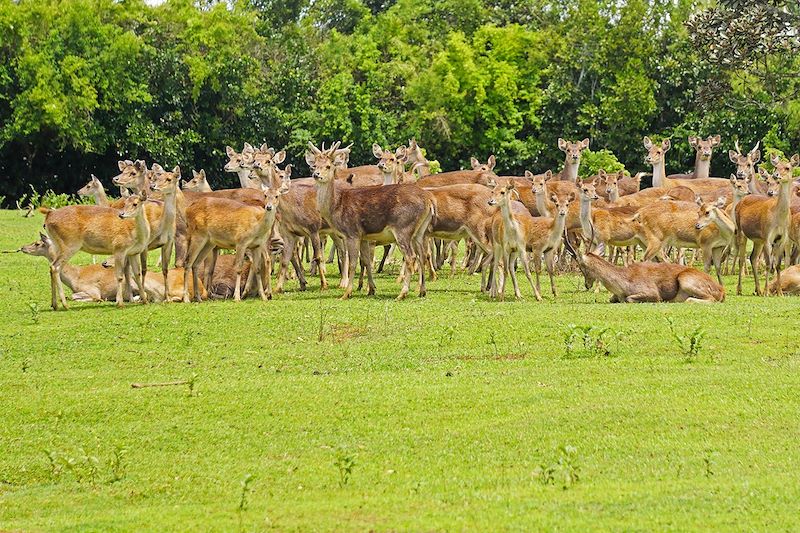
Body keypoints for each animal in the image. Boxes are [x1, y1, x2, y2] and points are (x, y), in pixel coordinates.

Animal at [306, 141, 434, 300]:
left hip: (403, 228)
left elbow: (353, 262)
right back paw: (422, 291)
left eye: (328, 166)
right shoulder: (364, 237)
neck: (336, 206)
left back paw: (402, 293)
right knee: (422, 255)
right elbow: (366, 261)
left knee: (411, 257)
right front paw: (371, 289)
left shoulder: (352, 232)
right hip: (419, 231)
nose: (316, 174)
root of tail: (429, 201)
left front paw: (346, 293)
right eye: (315, 165)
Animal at [564, 234, 724, 304]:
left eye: (581, 266)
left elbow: (629, 299)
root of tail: (722, 290)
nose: (587, 285)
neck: (622, 283)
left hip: (686, 279)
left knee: (708, 299)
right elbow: (612, 299)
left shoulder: (652, 292)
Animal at [736, 156, 796, 298]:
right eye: (776, 167)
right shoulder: (768, 236)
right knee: (741, 259)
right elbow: (769, 264)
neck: (778, 219)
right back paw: (739, 289)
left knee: (752, 258)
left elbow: (778, 265)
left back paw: (757, 290)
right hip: (741, 231)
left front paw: (779, 292)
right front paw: (767, 291)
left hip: (758, 240)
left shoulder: (781, 239)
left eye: (787, 167)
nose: (777, 174)